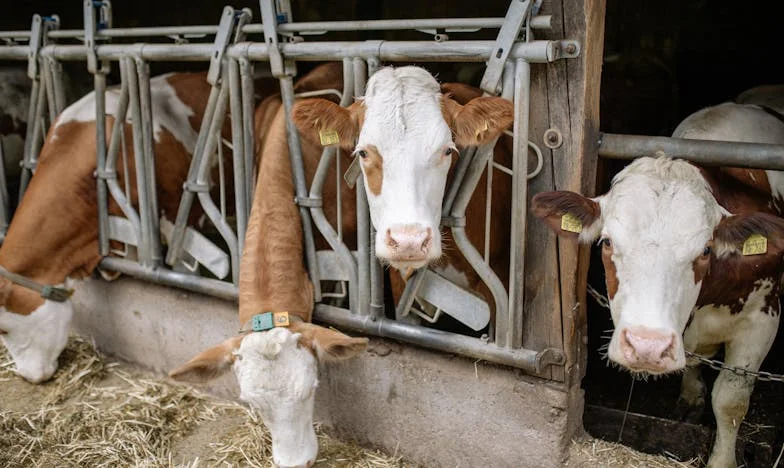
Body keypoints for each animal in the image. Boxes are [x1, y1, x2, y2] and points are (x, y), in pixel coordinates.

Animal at [532, 100, 784, 466]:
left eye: (706, 249)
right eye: (606, 242)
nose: (646, 346)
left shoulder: (762, 318)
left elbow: (730, 400)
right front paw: (691, 397)